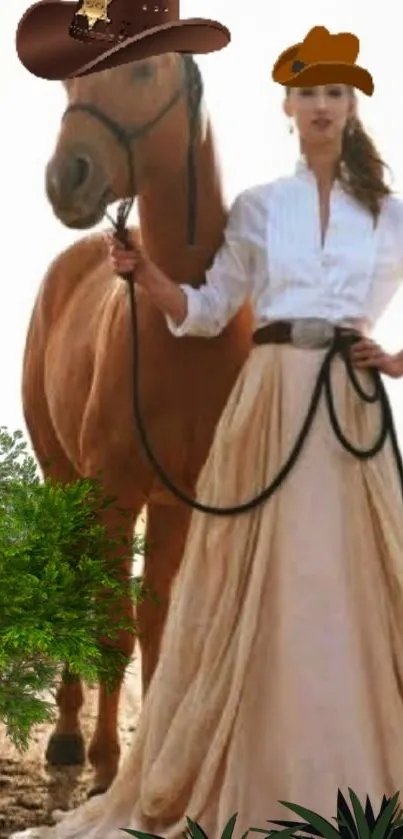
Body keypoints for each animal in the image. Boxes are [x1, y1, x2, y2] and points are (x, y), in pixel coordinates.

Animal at [22, 52, 252, 796]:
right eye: (70, 79)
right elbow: (111, 626)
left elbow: (156, 620)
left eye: (146, 70)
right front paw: (104, 765)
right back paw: (66, 738)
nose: (67, 177)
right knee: (72, 582)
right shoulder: (114, 494)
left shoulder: (181, 499)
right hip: (64, 476)